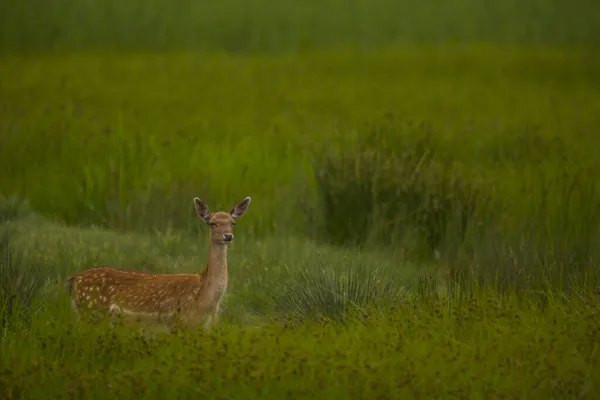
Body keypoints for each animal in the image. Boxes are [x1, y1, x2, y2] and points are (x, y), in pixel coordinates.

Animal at [66, 196, 251, 332]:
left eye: (233, 223)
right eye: (212, 223)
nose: (228, 236)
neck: (206, 302)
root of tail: (74, 279)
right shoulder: (180, 323)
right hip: (90, 310)